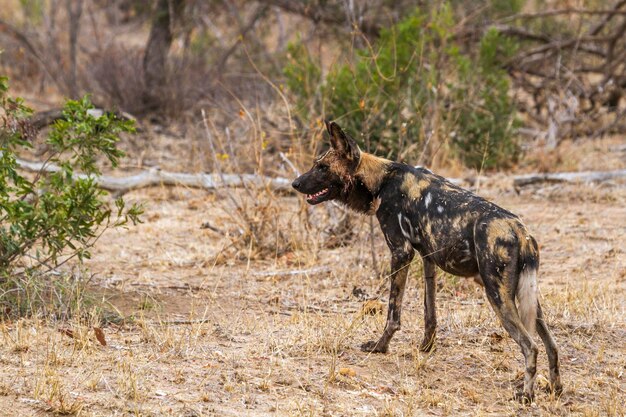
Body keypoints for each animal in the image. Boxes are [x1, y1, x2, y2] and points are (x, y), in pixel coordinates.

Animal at [292, 120, 560, 400]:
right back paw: (555, 388)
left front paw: (380, 346)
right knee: (551, 344)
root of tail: (520, 231)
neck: (380, 180)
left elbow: (393, 313)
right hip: (526, 297)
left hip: (497, 296)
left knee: (531, 346)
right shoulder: (427, 258)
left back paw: (526, 396)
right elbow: (429, 312)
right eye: (316, 164)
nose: (294, 183)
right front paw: (426, 346)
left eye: (323, 168)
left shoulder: (400, 252)